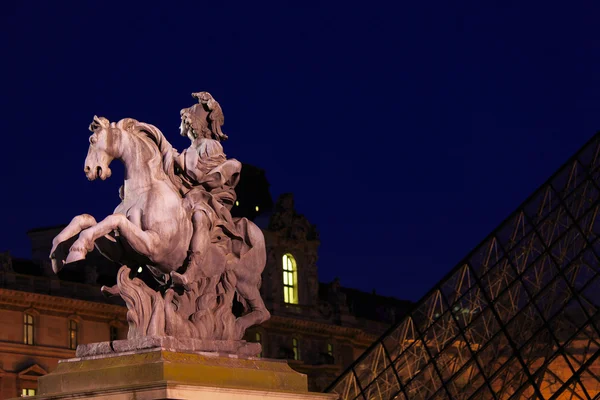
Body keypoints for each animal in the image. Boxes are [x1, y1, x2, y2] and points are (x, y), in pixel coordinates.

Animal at [49, 116, 270, 338]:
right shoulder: (124, 251)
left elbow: (114, 219)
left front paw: (78, 248)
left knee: (262, 312)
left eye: (93, 140)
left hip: (245, 280)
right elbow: (87, 219)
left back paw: (232, 328)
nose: (89, 170)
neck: (144, 191)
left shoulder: (155, 246)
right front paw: (58, 252)